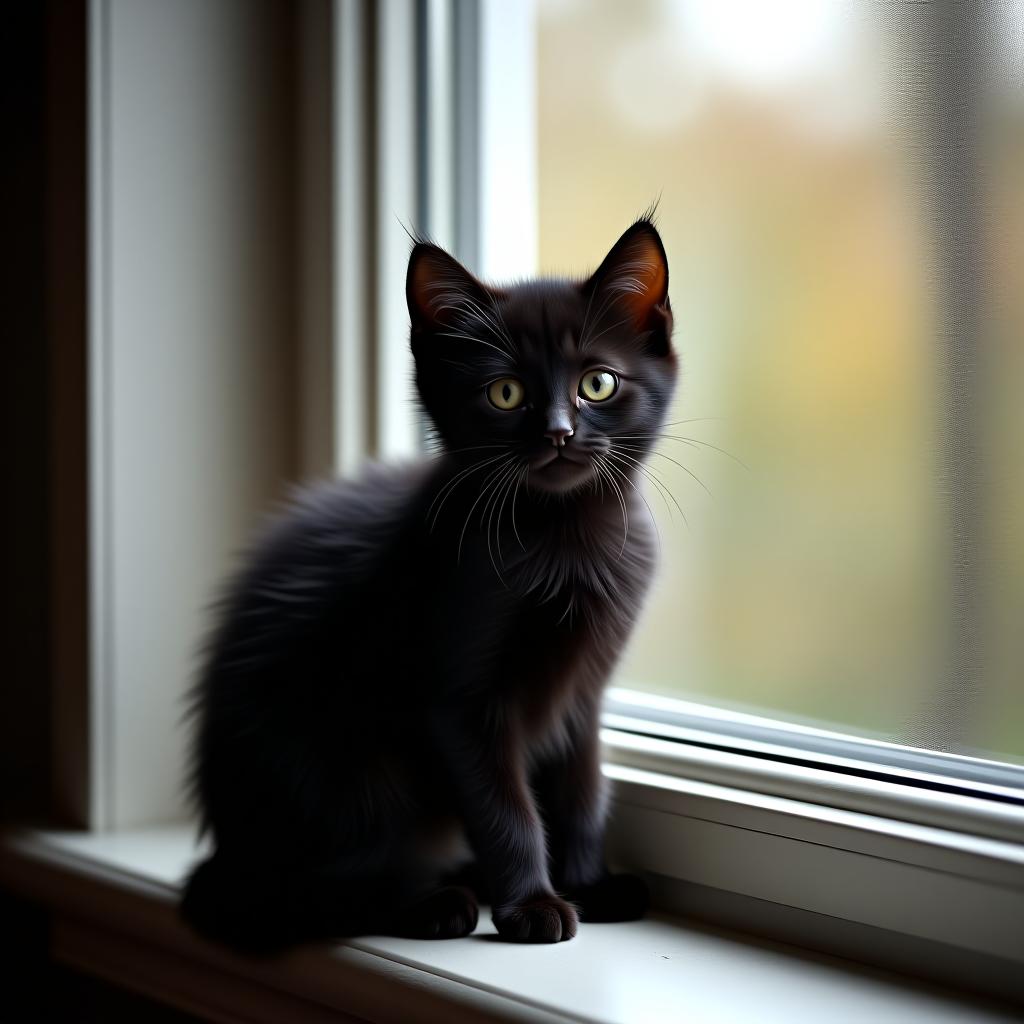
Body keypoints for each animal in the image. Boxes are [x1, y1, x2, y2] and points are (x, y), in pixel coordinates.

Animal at [182, 218, 679, 950]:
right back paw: (430, 902)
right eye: (505, 393)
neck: (563, 539)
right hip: (349, 774)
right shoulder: (460, 700)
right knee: (323, 885)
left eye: (598, 384)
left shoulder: (582, 694)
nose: (559, 434)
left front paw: (589, 884)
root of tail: (227, 853)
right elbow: (506, 808)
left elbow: (581, 791)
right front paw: (533, 905)